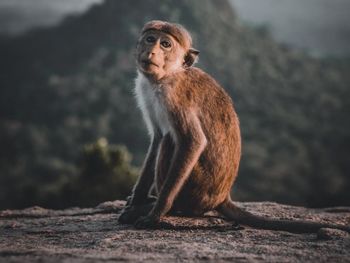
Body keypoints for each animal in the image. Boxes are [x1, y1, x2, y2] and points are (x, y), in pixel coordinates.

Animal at [118, 21, 350, 235]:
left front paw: (156, 212)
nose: (152, 51)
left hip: (196, 190)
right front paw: (137, 198)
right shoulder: (145, 90)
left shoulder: (174, 97)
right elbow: (157, 138)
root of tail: (222, 197)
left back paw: (168, 208)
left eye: (165, 44)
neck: (166, 76)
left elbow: (192, 141)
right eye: (150, 39)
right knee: (165, 139)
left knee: (171, 141)